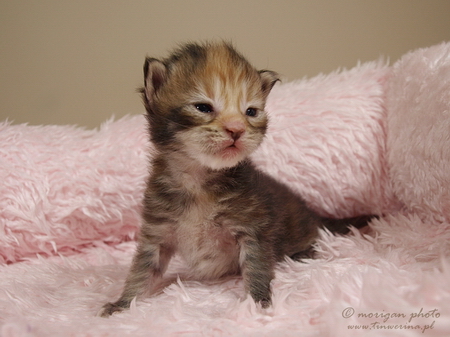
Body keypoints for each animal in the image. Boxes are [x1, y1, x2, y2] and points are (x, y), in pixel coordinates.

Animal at [98, 41, 372, 316]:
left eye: (250, 112)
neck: (199, 181)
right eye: (203, 107)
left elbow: (257, 268)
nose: (236, 129)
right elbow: (142, 270)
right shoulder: (157, 231)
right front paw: (123, 303)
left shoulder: (253, 230)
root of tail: (313, 215)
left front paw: (259, 303)